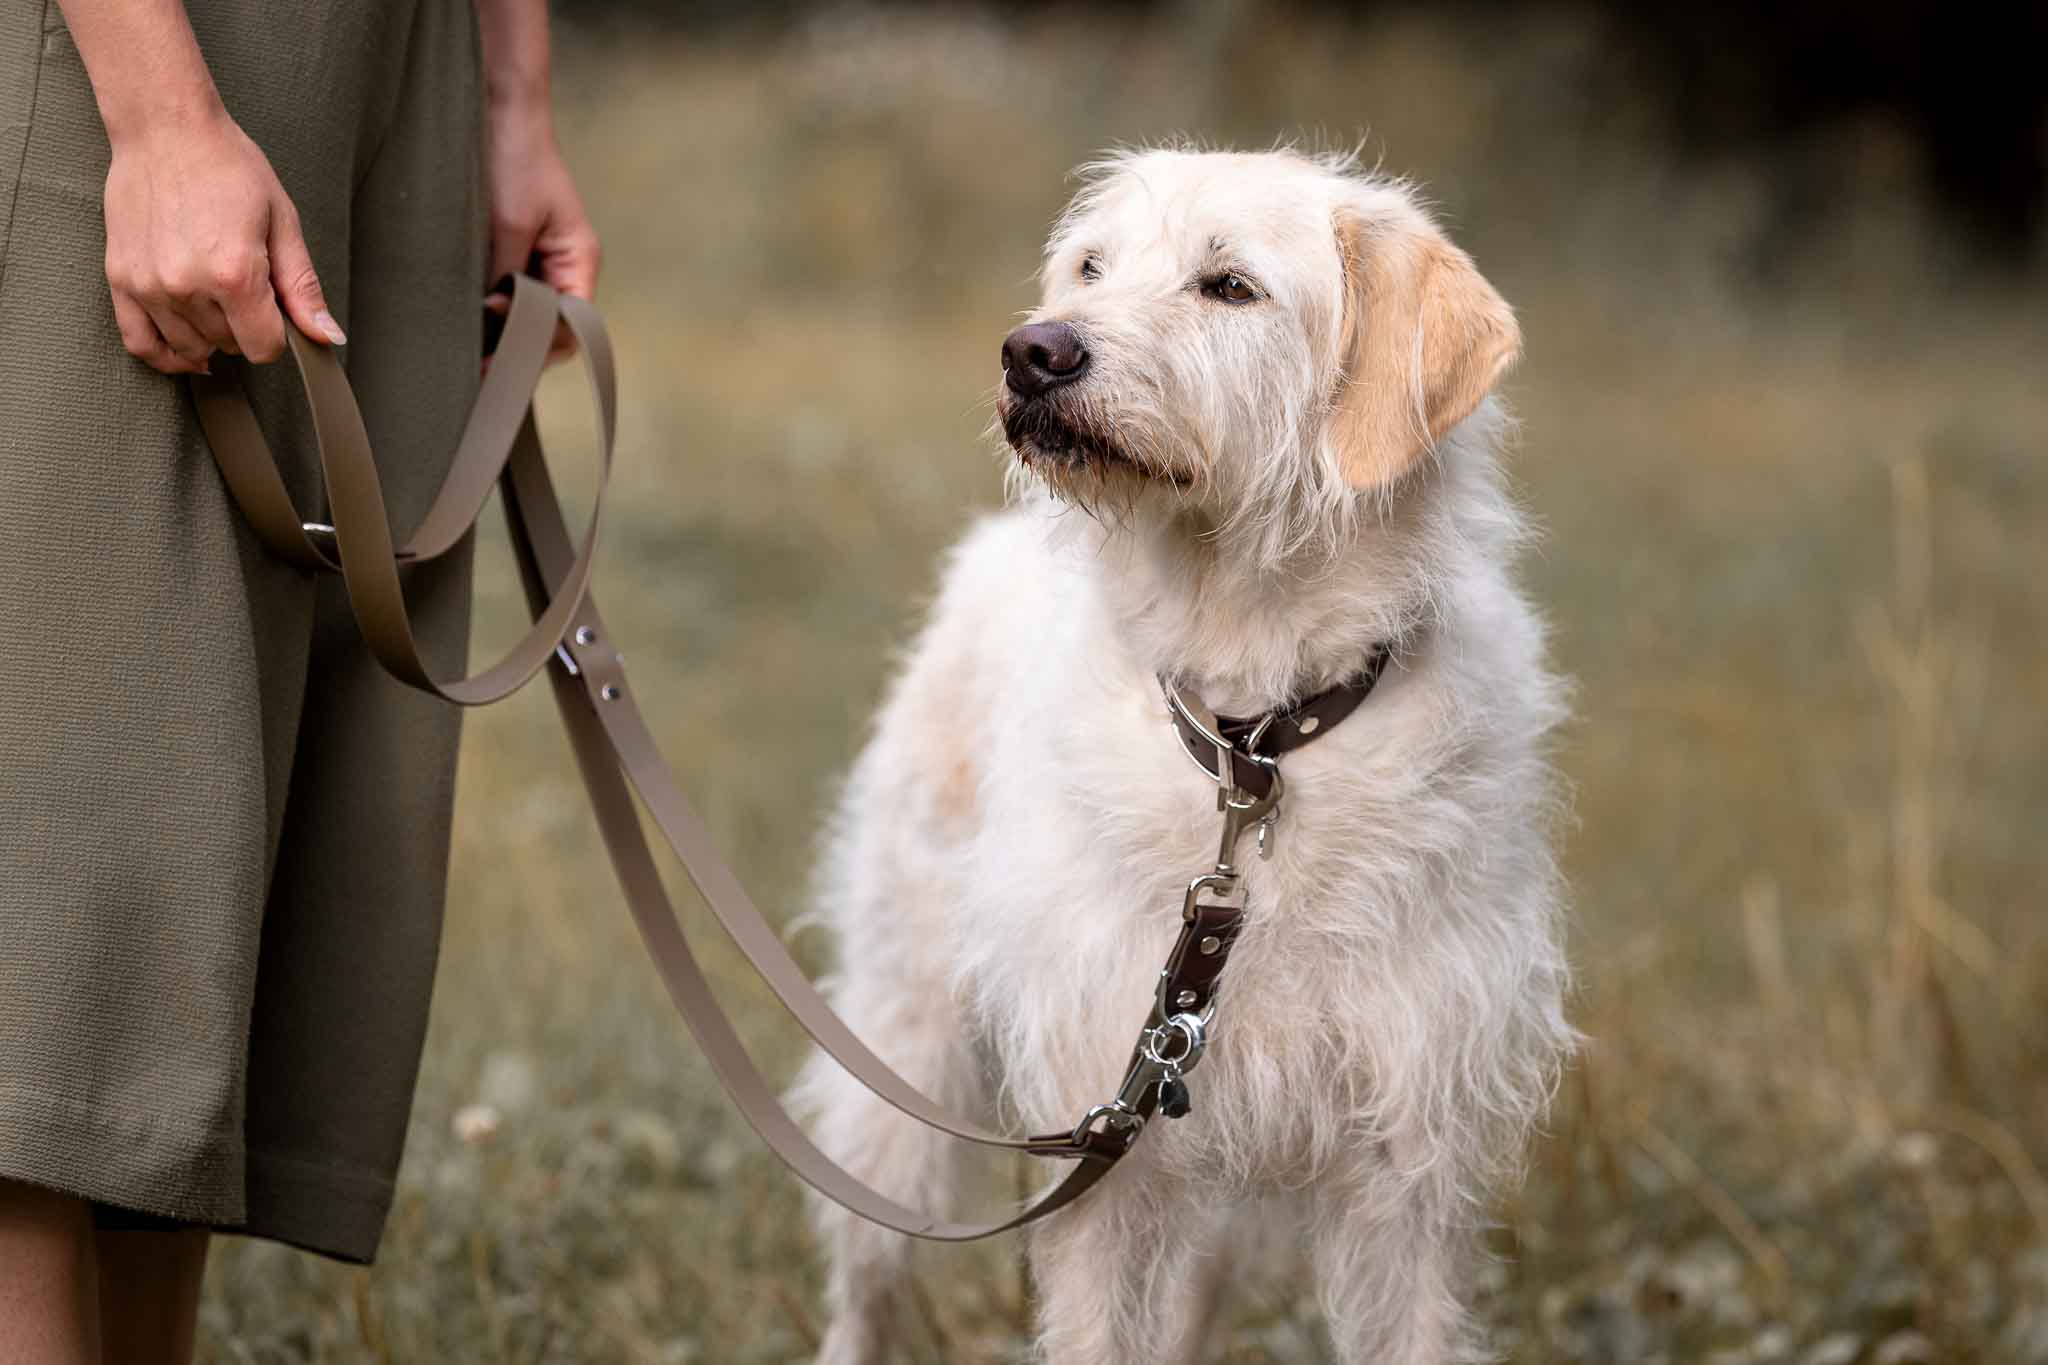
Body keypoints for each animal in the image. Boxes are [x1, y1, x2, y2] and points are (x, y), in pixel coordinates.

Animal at [790, 149, 1572, 1365]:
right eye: (1090, 266)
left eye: (1229, 286)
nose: (1032, 350)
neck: (1254, 741)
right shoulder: (1100, 1132)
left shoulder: (1404, 1160)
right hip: (904, 1042)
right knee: (866, 1279)